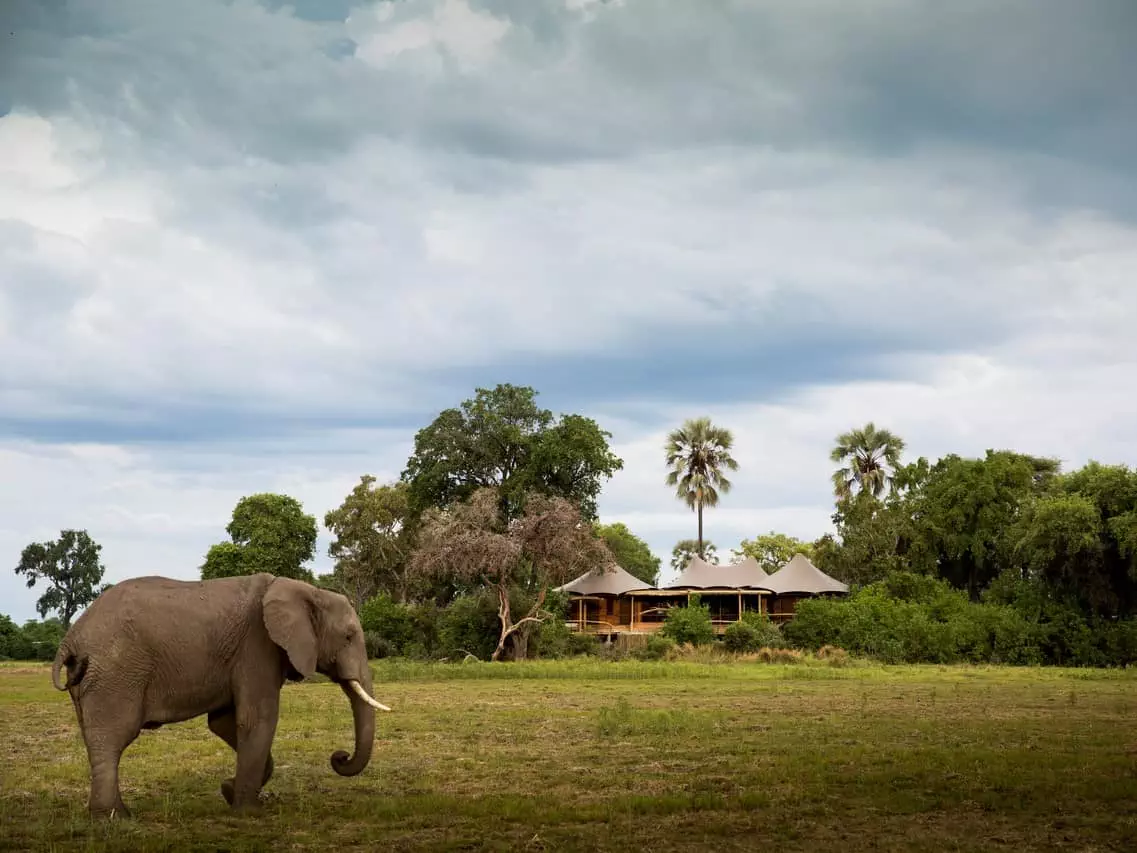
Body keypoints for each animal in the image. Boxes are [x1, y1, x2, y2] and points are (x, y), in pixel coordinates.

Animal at [50, 575, 391, 823]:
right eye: (349, 637)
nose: (339, 756)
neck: (305, 589)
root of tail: (71, 638)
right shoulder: (257, 647)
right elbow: (258, 719)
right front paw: (250, 813)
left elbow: (224, 723)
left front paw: (228, 791)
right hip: (116, 673)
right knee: (112, 737)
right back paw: (114, 818)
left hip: (93, 678)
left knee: (97, 738)